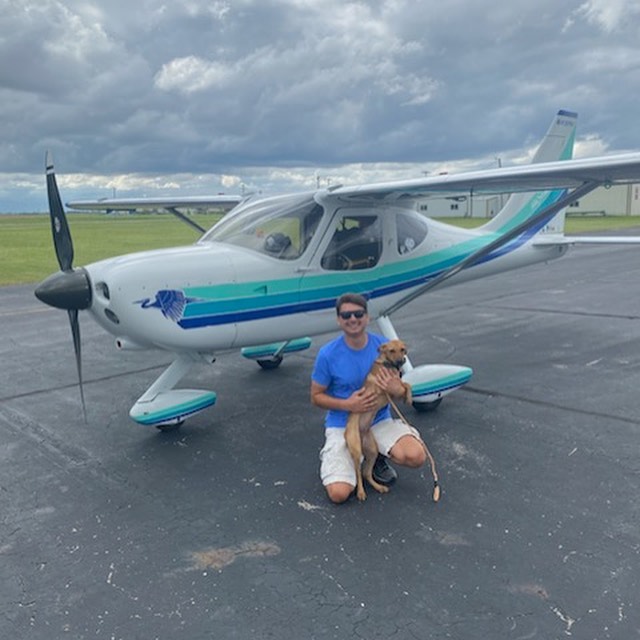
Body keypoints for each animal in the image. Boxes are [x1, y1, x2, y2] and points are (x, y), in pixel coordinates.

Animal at [342, 338, 412, 502]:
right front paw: (409, 398)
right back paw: (361, 492)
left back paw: (379, 487)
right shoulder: (382, 388)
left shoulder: (393, 389)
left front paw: (408, 397)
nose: (401, 361)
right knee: (358, 472)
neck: (387, 364)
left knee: (366, 473)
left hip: (372, 451)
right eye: (391, 350)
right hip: (356, 449)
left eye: (402, 349)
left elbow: (406, 384)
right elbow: (405, 383)